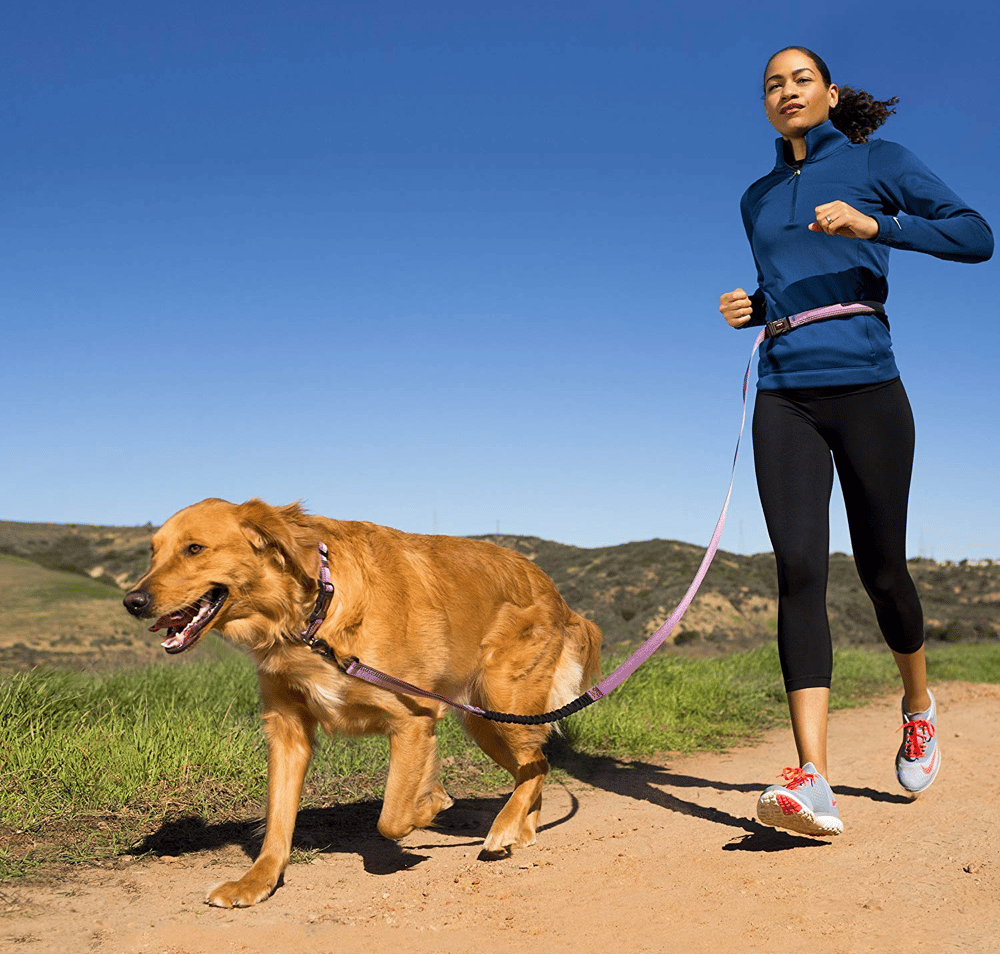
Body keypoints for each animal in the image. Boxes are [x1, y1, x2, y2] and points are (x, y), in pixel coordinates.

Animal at [121, 496, 596, 908]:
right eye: (153, 552)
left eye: (194, 548)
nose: (132, 601)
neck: (314, 613)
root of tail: (556, 593)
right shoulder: (287, 729)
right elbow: (278, 818)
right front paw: (258, 881)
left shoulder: (413, 718)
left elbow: (393, 816)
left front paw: (431, 802)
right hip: (484, 720)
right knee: (534, 765)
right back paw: (520, 829)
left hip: (503, 705)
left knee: (537, 763)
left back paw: (503, 830)